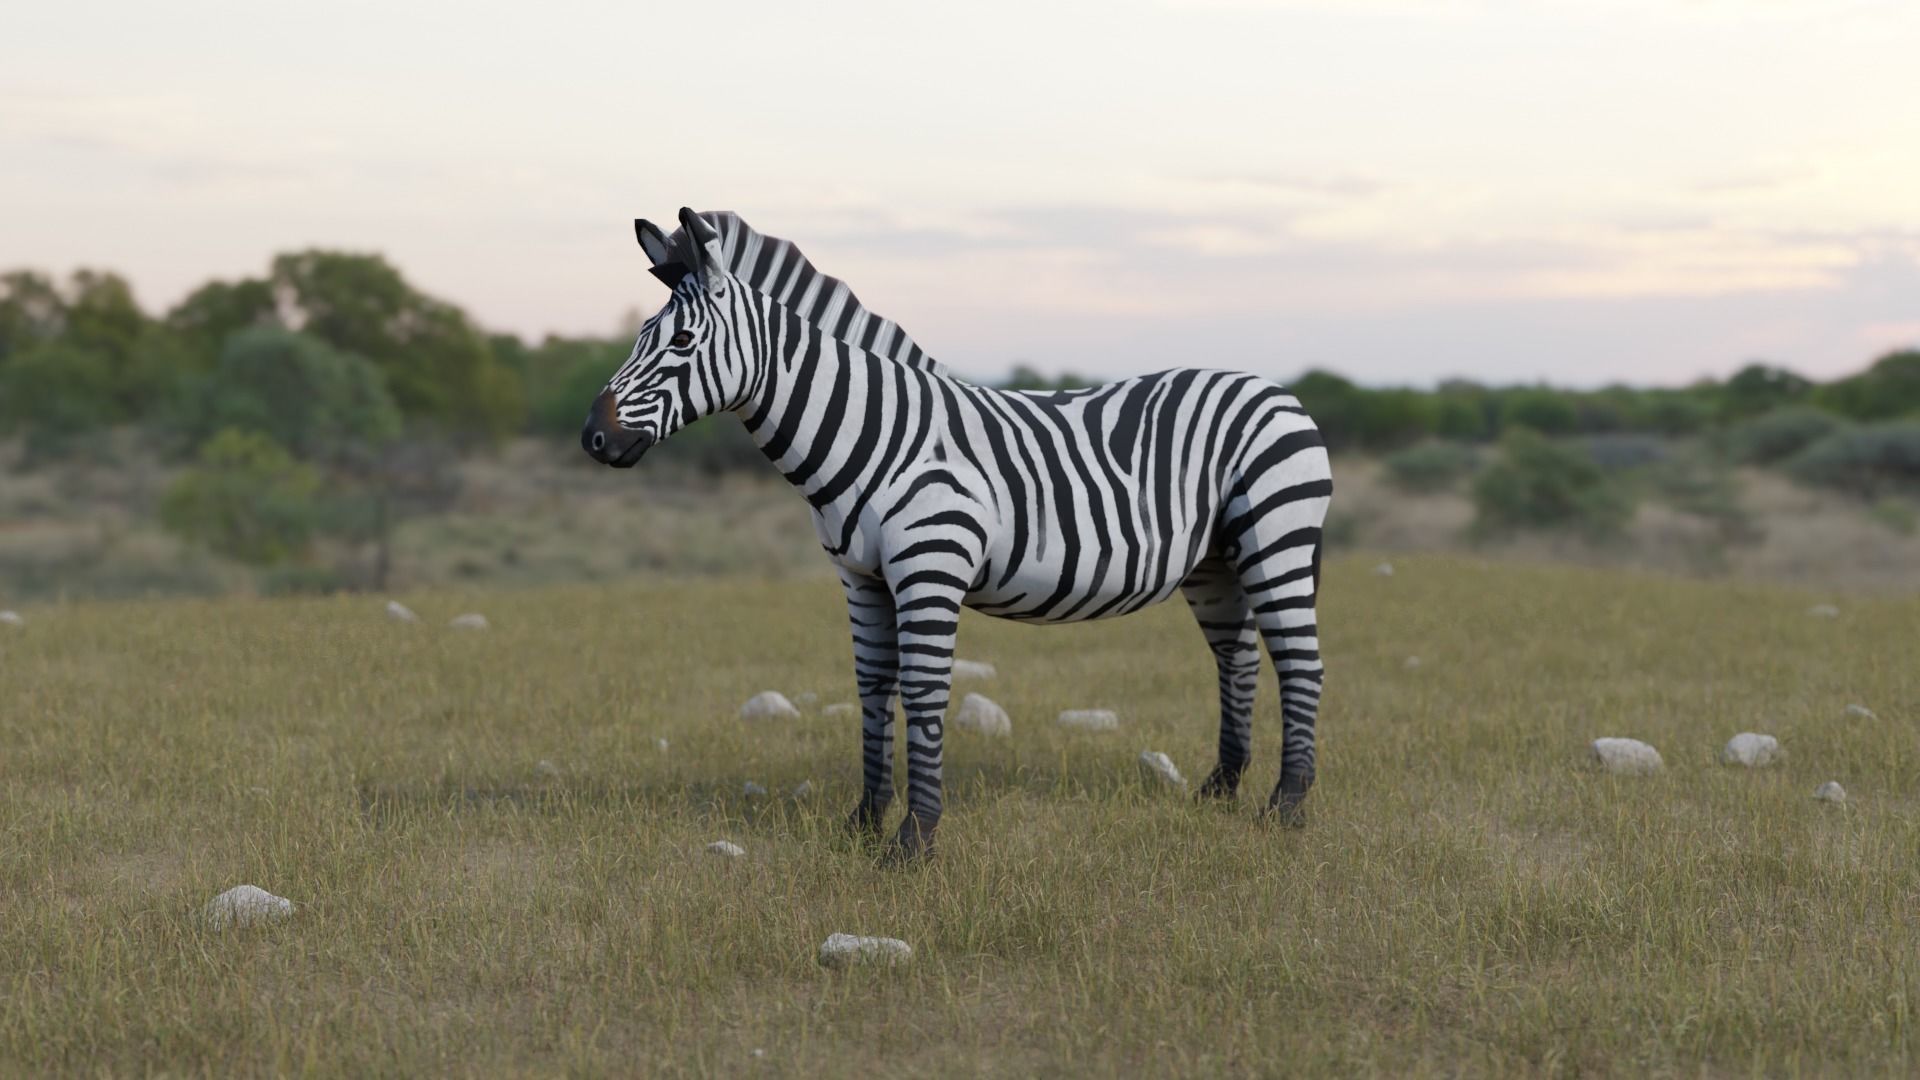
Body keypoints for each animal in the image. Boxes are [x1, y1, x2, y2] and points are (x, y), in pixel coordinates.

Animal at [582, 208, 1332, 861]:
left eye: (681, 342)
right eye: (639, 334)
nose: (594, 438)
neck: (874, 431)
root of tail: (1275, 389)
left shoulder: (930, 565)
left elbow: (922, 692)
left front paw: (915, 840)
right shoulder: (861, 578)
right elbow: (872, 687)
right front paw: (864, 821)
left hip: (1276, 537)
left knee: (1300, 661)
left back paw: (1286, 809)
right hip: (1213, 561)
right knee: (1237, 656)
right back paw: (1219, 793)